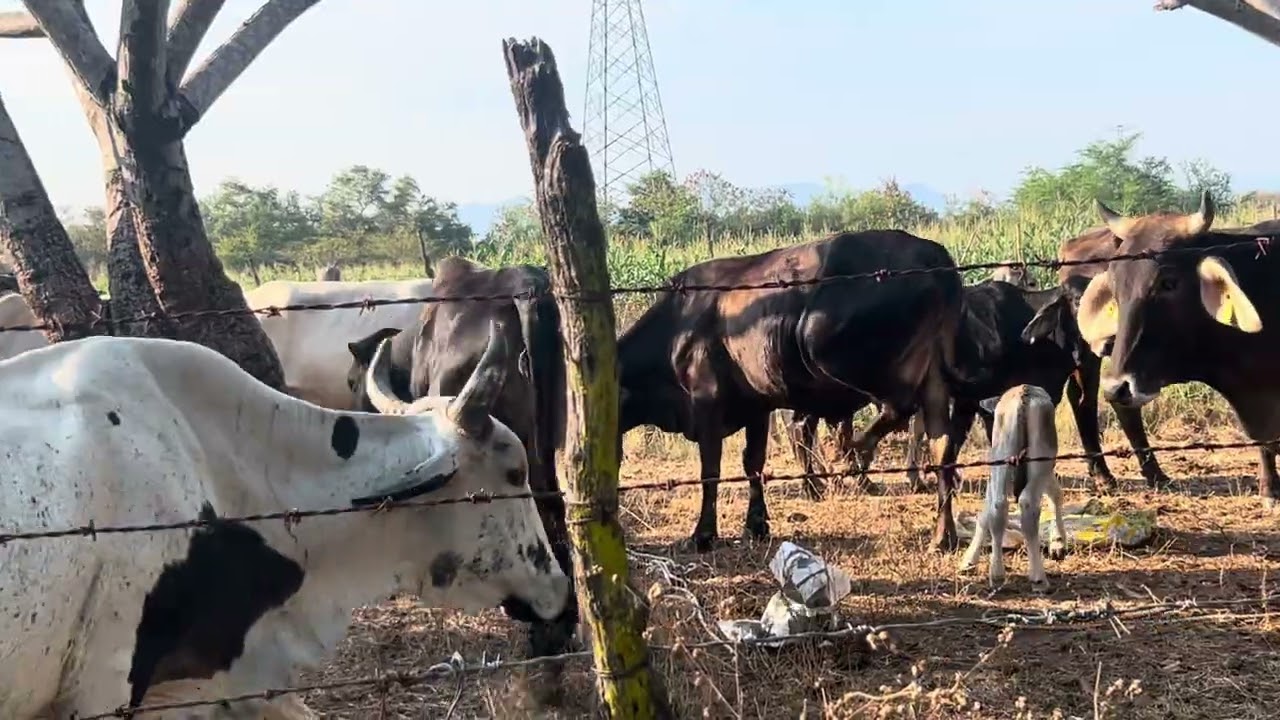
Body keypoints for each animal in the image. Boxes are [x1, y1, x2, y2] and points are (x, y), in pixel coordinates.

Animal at [618, 230, 975, 553]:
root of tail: (933, 255)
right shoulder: (757, 406)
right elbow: (753, 464)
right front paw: (756, 525)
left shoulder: (707, 403)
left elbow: (711, 471)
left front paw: (704, 535)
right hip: (934, 378)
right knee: (942, 448)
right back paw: (943, 536)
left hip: (825, 345)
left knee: (896, 408)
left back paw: (850, 454)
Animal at [958, 384, 1067, 589]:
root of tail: (1024, 394)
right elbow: (1056, 494)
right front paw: (1059, 542)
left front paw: (968, 560)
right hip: (1039, 459)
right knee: (1026, 503)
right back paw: (1037, 577)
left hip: (1002, 454)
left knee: (999, 505)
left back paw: (998, 574)